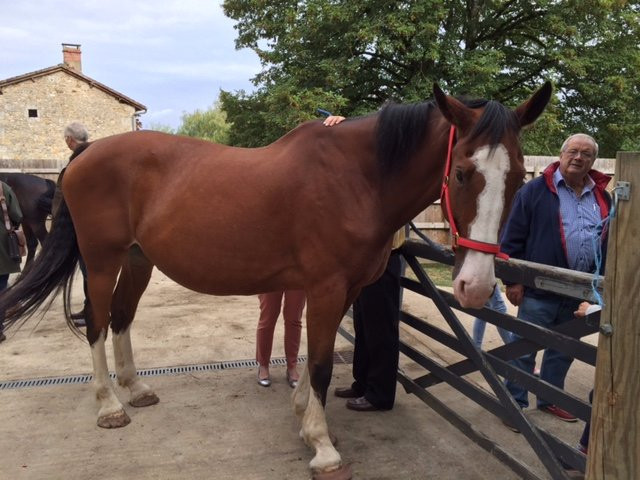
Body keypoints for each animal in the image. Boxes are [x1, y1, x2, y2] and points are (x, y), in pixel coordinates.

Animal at [0, 84, 552, 478]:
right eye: (461, 173)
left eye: (518, 177)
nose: (475, 287)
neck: (359, 178)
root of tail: (84, 154)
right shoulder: (327, 286)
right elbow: (324, 363)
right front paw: (323, 447)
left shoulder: (342, 288)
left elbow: (312, 356)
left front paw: (304, 416)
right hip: (101, 261)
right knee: (95, 322)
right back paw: (110, 406)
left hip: (137, 261)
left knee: (120, 317)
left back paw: (135, 389)